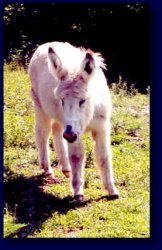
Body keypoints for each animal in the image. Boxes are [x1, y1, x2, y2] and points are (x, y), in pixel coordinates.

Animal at [28, 41, 118, 201]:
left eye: (83, 100)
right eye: (62, 100)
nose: (69, 135)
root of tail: (47, 44)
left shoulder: (102, 127)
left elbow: (104, 156)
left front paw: (111, 190)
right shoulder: (74, 131)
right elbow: (77, 155)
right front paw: (78, 192)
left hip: (59, 118)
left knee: (57, 133)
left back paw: (66, 168)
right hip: (40, 105)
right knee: (42, 134)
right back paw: (48, 170)